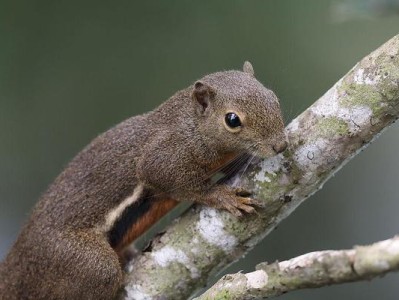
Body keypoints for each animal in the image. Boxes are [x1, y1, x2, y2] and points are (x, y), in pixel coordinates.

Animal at [0, 61, 288, 300]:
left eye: (274, 97)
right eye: (232, 120)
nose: (280, 145)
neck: (191, 126)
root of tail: (16, 265)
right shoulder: (161, 159)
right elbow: (181, 184)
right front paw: (222, 196)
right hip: (83, 263)